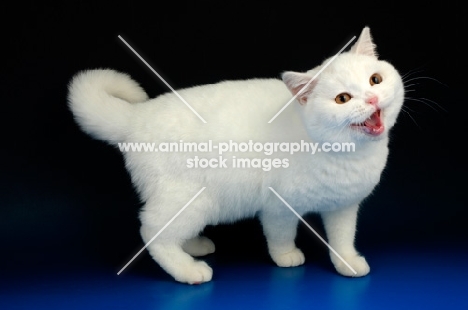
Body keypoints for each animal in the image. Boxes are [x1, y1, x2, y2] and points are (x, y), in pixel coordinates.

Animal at [67, 27, 404, 284]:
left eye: (375, 80)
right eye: (343, 99)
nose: (371, 99)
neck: (347, 154)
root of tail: (136, 116)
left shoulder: (343, 207)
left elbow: (343, 238)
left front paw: (347, 262)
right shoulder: (278, 207)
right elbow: (280, 235)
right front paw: (287, 257)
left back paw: (194, 246)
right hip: (192, 201)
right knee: (152, 232)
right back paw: (189, 271)